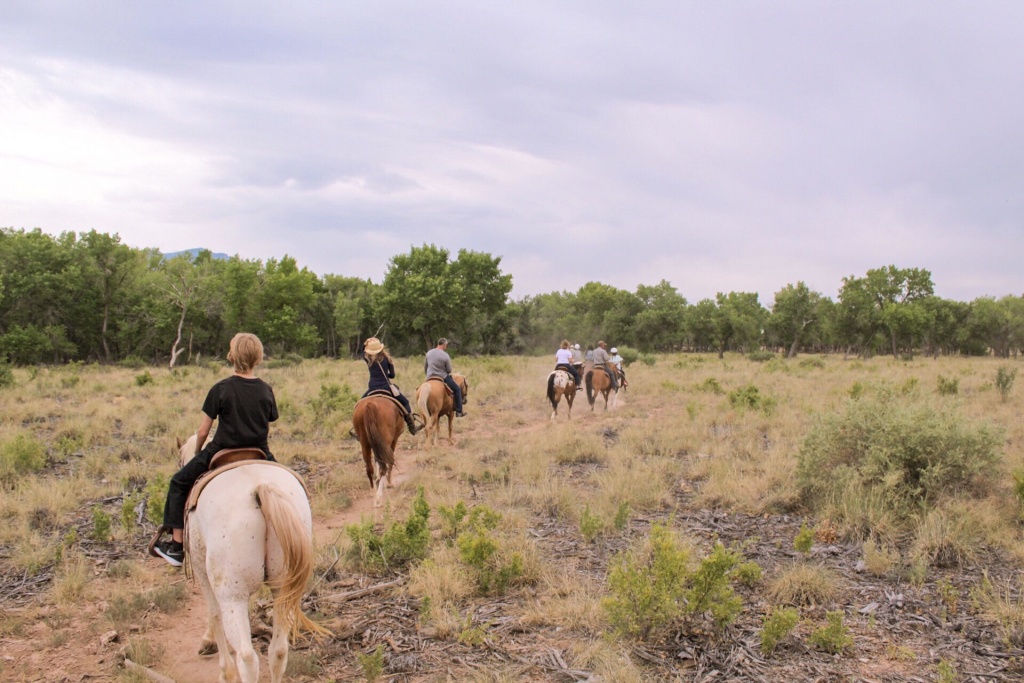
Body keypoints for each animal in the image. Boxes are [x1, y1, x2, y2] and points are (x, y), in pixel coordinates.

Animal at [178, 438, 323, 683]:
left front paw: (221, 665)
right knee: (278, 651)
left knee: (247, 657)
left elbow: (214, 615)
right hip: (283, 587)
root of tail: (260, 488)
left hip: (233, 595)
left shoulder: (201, 570)